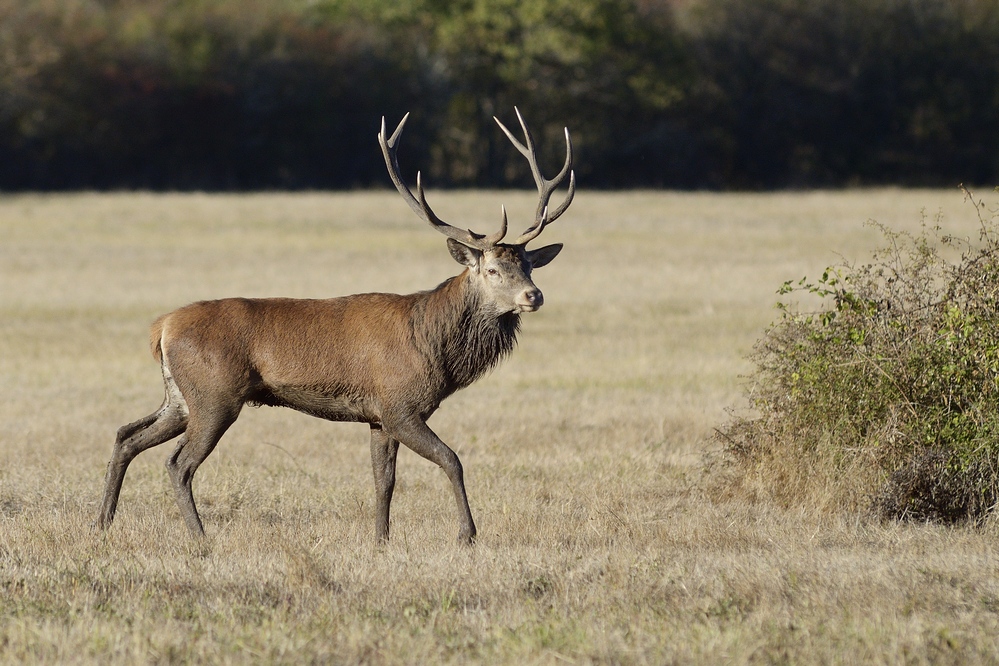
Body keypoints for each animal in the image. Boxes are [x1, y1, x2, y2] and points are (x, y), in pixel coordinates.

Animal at [95, 110, 580, 544]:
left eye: (529, 265)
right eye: (494, 270)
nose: (533, 296)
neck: (435, 348)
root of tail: (162, 328)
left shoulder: (378, 418)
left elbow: (384, 481)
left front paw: (381, 540)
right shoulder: (400, 404)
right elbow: (452, 459)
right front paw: (467, 535)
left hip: (180, 397)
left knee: (127, 435)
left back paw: (102, 523)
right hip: (215, 395)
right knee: (179, 463)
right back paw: (200, 539)